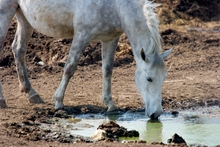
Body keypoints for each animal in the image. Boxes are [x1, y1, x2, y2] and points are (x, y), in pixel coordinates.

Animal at [0, 0, 172, 119]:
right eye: (149, 79)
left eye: (164, 78)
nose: (156, 114)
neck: (115, 6)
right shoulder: (82, 35)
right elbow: (70, 67)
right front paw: (58, 101)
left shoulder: (110, 39)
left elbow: (107, 70)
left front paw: (110, 104)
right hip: (5, 12)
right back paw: (3, 100)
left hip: (24, 17)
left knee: (18, 49)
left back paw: (32, 93)